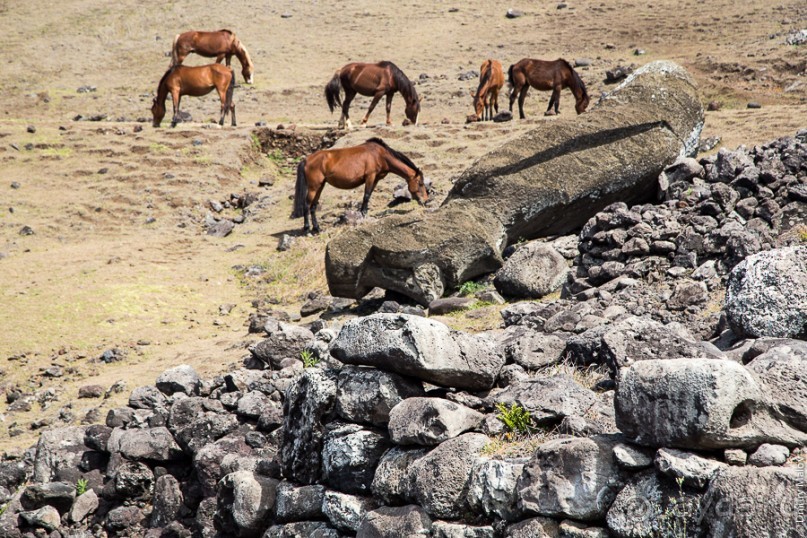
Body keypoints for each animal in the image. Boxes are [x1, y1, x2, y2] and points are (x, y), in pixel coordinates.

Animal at [292, 136, 430, 232]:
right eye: (420, 183)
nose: (426, 200)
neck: (380, 155)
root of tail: (306, 159)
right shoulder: (370, 176)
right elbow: (366, 196)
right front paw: (363, 215)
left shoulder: (375, 179)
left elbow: (368, 196)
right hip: (313, 187)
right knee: (306, 205)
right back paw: (307, 228)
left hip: (320, 186)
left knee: (313, 206)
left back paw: (317, 228)